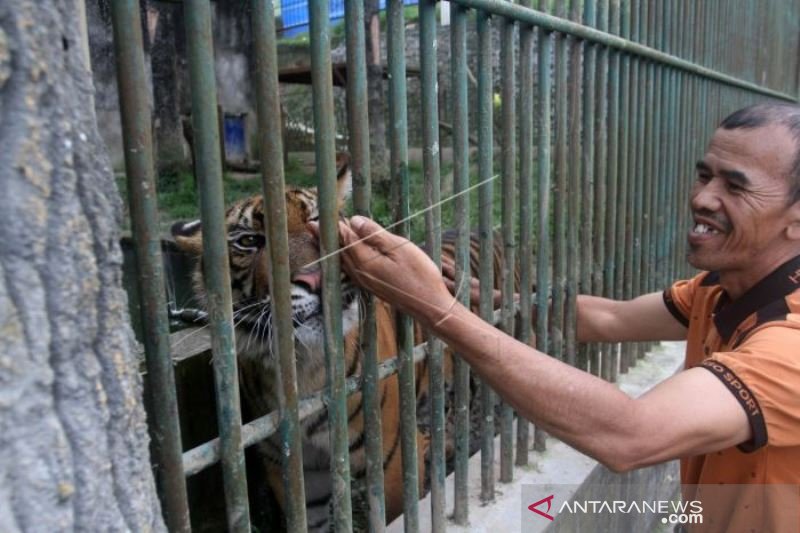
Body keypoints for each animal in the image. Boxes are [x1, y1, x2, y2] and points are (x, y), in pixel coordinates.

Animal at [170, 157, 524, 528]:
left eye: (316, 222)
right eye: (250, 241)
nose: (314, 279)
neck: (304, 367)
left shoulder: (390, 460)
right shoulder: (294, 471)